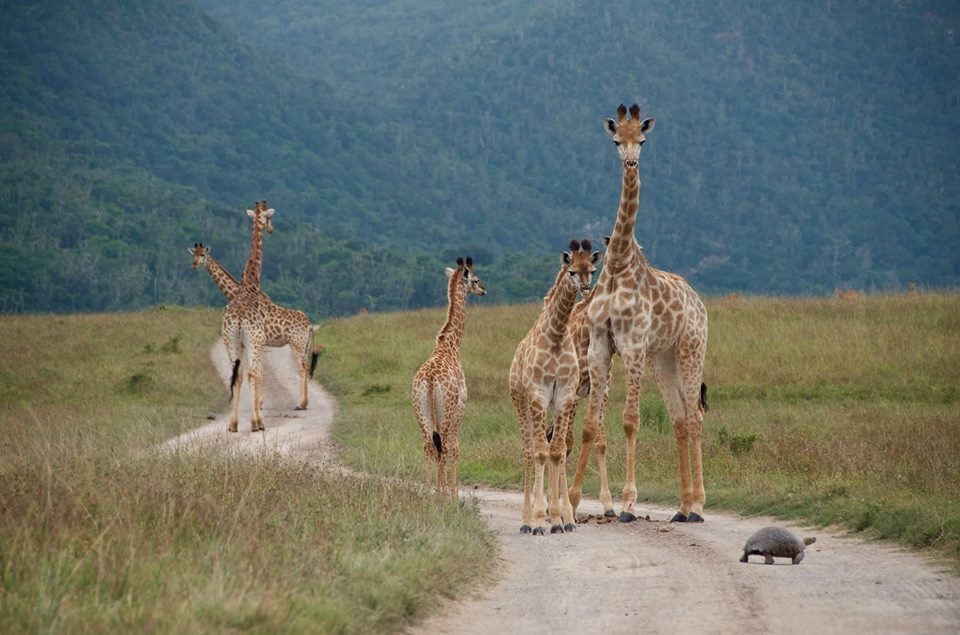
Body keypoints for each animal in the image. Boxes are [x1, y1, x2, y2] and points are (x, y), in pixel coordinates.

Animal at [190, 242, 320, 410]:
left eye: (202, 255)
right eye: (193, 254)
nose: (194, 265)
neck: (238, 293)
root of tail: (310, 325)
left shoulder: (256, 342)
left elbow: (258, 371)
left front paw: (259, 403)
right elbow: (256, 371)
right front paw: (259, 402)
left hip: (296, 344)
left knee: (302, 368)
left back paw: (301, 404)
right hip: (303, 345)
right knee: (306, 367)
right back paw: (304, 402)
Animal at [412, 257, 486, 496]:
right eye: (476, 279)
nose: (484, 290)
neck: (451, 344)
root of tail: (429, 381)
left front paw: (443, 489)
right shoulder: (461, 404)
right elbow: (455, 447)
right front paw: (452, 492)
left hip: (420, 409)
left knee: (428, 445)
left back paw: (429, 491)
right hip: (445, 408)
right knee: (443, 444)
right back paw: (443, 493)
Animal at [510, 240, 599, 535]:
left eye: (592, 269)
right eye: (571, 270)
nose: (585, 288)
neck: (557, 335)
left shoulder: (563, 397)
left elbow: (557, 451)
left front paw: (563, 520)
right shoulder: (538, 395)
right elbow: (540, 452)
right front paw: (539, 520)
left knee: (550, 447)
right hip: (520, 399)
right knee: (528, 452)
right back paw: (526, 521)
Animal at [569, 104, 710, 523]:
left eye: (642, 140)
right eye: (617, 140)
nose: (631, 163)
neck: (617, 265)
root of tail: (699, 301)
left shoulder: (631, 344)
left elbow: (630, 422)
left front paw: (629, 503)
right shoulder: (601, 346)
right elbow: (590, 427)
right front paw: (572, 501)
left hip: (691, 348)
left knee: (694, 417)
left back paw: (698, 505)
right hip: (662, 358)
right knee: (679, 419)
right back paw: (682, 507)